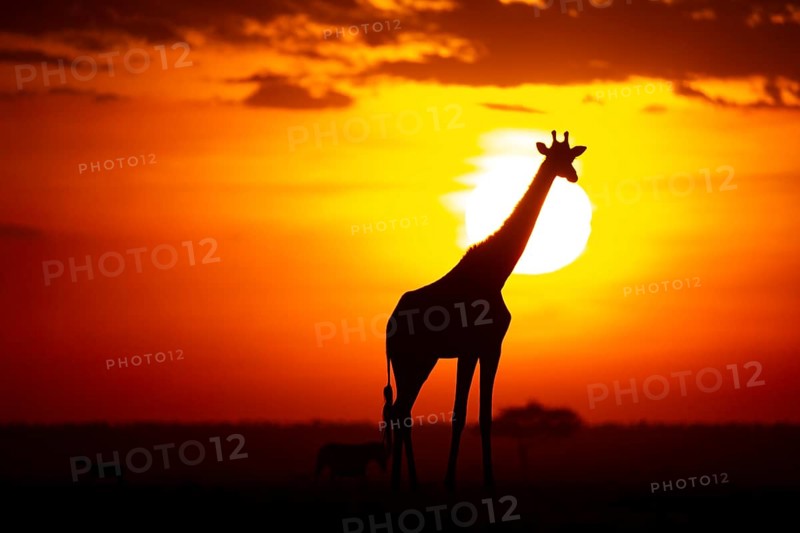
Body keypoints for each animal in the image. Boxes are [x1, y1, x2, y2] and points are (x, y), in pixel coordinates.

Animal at [381, 130, 586, 491]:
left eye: (571, 156)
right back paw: (404, 483)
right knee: (399, 410)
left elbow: (484, 415)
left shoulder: (487, 348)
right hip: (411, 360)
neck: (496, 271)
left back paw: (407, 483)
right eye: (556, 157)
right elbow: (460, 414)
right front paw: (452, 482)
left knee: (400, 410)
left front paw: (487, 480)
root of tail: (389, 328)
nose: (573, 175)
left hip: (421, 361)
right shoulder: (475, 348)